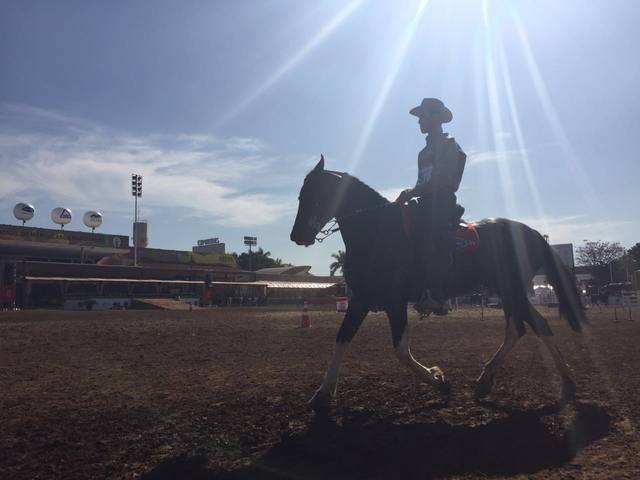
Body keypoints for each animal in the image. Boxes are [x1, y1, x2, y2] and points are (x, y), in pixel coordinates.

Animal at [290, 157, 584, 412]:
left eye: (313, 194)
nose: (296, 235)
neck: (377, 231)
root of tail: (532, 233)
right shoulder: (362, 299)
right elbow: (341, 340)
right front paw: (322, 394)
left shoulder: (394, 302)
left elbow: (401, 350)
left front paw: (439, 381)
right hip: (507, 292)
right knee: (518, 329)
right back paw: (487, 381)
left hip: (513, 291)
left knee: (536, 326)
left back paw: (566, 384)